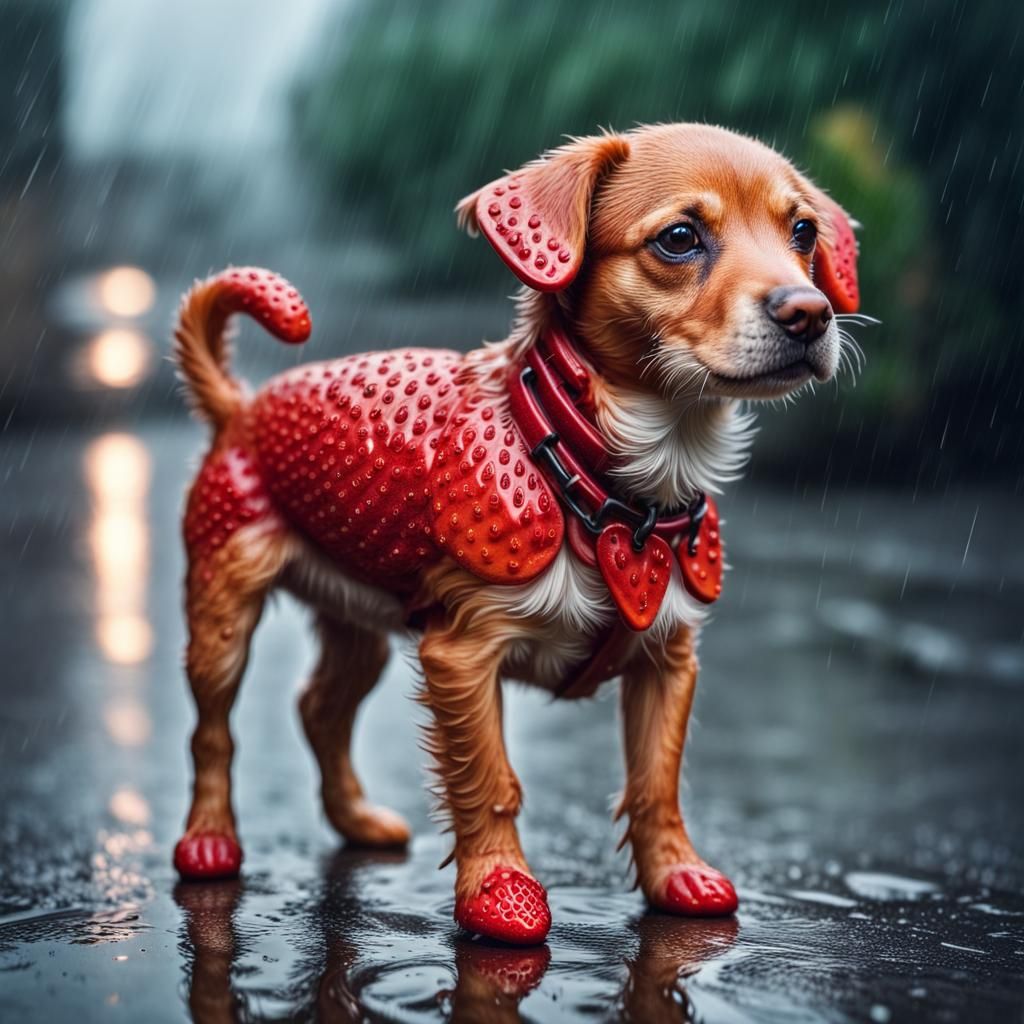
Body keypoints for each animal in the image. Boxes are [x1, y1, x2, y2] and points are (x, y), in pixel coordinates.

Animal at [172, 123, 860, 946]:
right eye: (680, 238)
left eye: (804, 233)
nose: (811, 311)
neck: (621, 486)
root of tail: (240, 405)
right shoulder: (462, 655)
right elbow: (488, 780)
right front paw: (501, 894)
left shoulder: (669, 660)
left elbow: (656, 781)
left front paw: (677, 876)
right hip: (223, 614)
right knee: (213, 730)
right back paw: (210, 841)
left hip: (359, 622)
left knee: (320, 709)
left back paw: (356, 820)